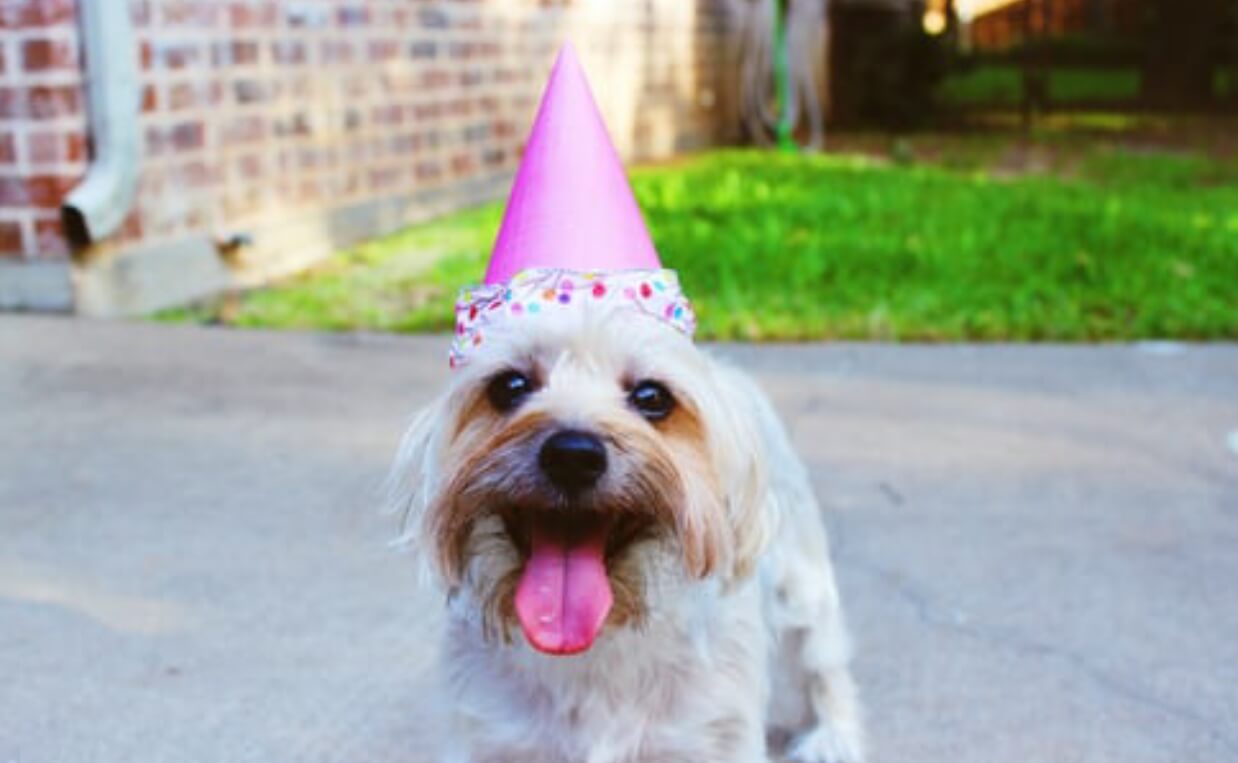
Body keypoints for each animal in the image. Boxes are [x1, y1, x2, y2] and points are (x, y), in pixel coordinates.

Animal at [391, 287, 866, 763]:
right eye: (509, 386)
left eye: (652, 397)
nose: (572, 456)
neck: (596, 644)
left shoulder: (712, 735)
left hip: (803, 584)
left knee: (824, 660)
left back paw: (835, 734)